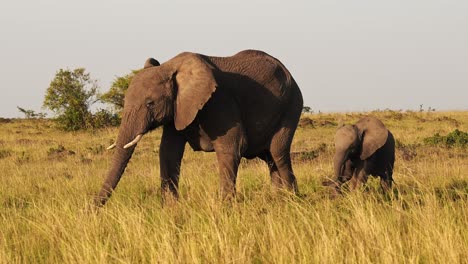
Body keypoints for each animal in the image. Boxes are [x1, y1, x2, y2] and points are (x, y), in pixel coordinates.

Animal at [97, 49, 306, 206]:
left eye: (150, 104)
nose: (93, 211)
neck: (171, 67)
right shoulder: (178, 108)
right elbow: (168, 152)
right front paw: (171, 209)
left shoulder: (219, 100)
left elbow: (232, 147)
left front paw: (226, 209)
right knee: (269, 157)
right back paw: (277, 200)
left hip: (292, 106)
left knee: (278, 153)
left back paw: (291, 201)